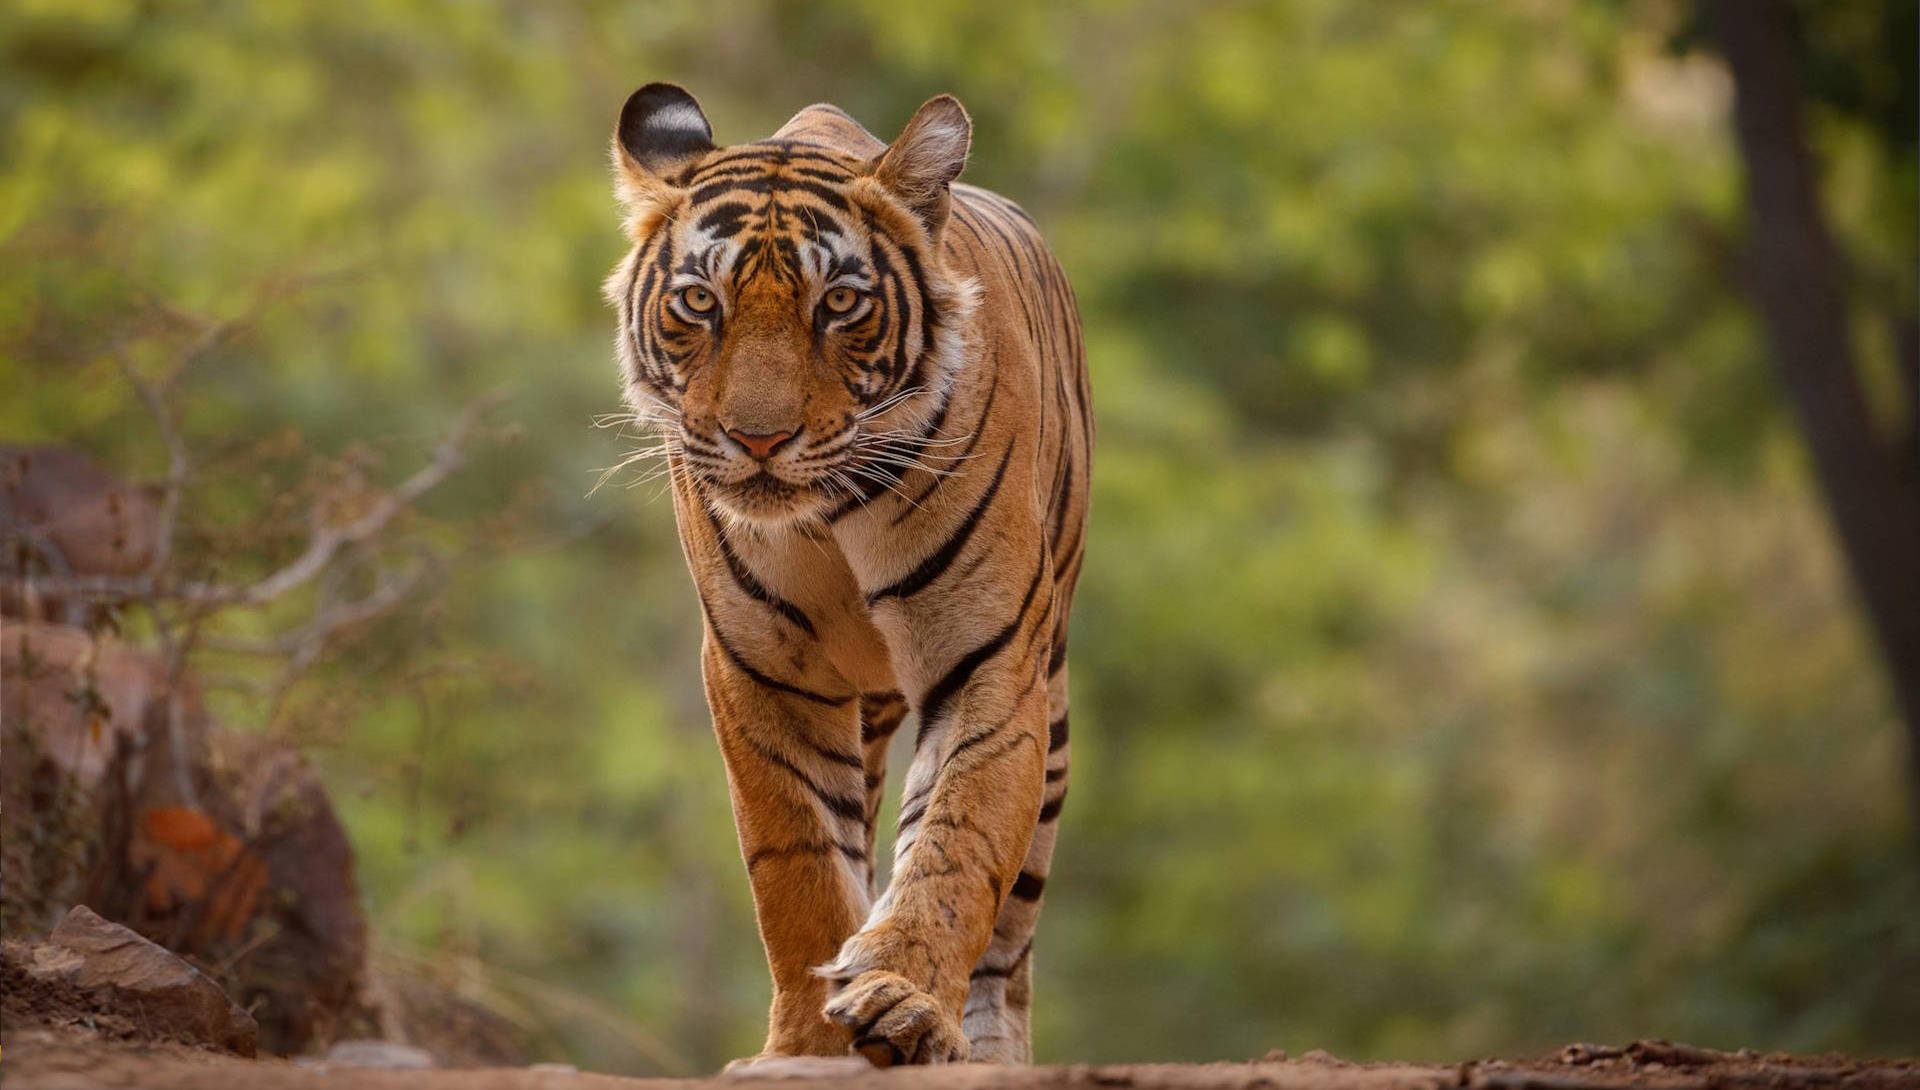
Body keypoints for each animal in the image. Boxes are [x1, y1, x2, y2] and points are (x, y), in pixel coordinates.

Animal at [602, 83, 1091, 1068]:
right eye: (699, 302)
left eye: (839, 304)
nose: (757, 439)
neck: (830, 517)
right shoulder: (762, 672)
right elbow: (798, 866)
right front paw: (804, 1041)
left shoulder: (989, 661)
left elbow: (957, 840)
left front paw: (904, 1001)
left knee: (1009, 937)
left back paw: (985, 1048)